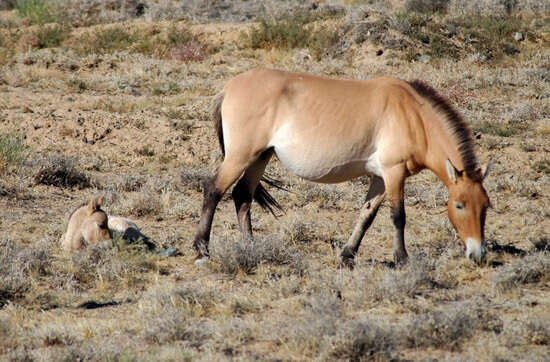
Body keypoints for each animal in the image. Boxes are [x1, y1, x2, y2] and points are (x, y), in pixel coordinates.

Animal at [193, 67, 492, 266]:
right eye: (459, 205)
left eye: (486, 206)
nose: (477, 254)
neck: (412, 114)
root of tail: (229, 88)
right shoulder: (394, 173)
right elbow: (398, 216)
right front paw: (402, 258)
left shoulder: (380, 178)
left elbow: (367, 215)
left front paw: (348, 255)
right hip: (240, 157)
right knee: (213, 190)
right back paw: (202, 249)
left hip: (260, 158)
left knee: (242, 196)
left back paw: (251, 248)